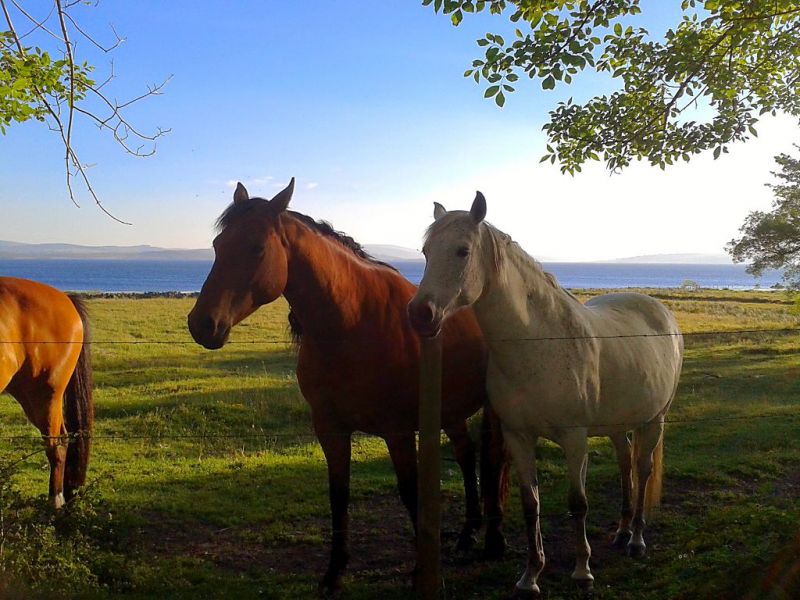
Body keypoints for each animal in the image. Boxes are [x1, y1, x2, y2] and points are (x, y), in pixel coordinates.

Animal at [189, 178, 506, 596]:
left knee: (495, 460)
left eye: (256, 247)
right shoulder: (331, 428)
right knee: (467, 456)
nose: (202, 324)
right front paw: (334, 571)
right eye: (217, 246)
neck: (353, 322)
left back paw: (495, 540)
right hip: (450, 410)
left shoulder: (397, 431)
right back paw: (469, 533)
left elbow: (410, 492)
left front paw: (422, 571)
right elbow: (338, 494)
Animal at [410, 192, 684, 596]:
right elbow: (530, 504)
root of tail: (661, 312)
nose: (420, 314)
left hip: (654, 420)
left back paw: (636, 540)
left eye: (462, 251)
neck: (538, 341)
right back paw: (620, 533)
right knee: (625, 466)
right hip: (618, 426)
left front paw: (583, 571)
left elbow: (578, 502)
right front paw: (530, 575)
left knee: (643, 469)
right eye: (426, 251)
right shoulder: (519, 437)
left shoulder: (574, 438)